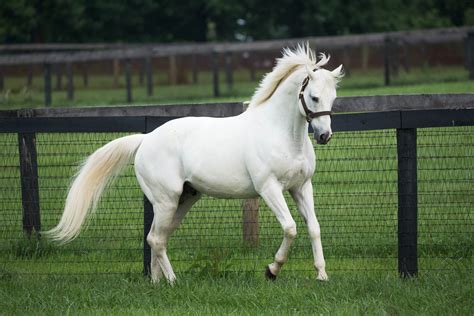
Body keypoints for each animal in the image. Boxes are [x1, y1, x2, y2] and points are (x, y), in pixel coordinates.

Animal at [47, 43, 340, 282]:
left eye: (333, 98)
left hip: (184, 199)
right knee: (156, 239)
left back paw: (156, 283)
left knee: (157, 238)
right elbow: (290, 228)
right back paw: (173, 281)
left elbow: (314, 228)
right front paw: (271, 270)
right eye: (313, 96)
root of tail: (146, 139)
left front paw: (322, 275)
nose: (324, 136)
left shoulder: (301, 187)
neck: (281, 133)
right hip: (166, 200)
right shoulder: (269, 188)